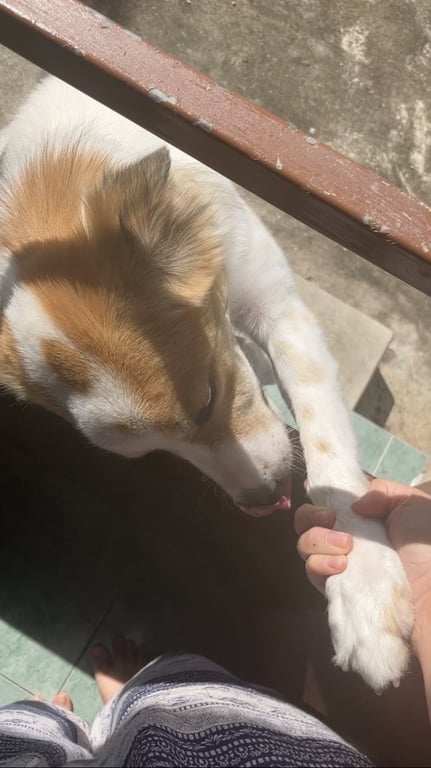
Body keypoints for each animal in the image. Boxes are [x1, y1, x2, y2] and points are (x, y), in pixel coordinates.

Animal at [0, 76, 413, 691]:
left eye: (210, 398)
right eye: (152, 452)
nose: (262, 504)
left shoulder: (278, 309)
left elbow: (326, 447)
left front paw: (364, 590)